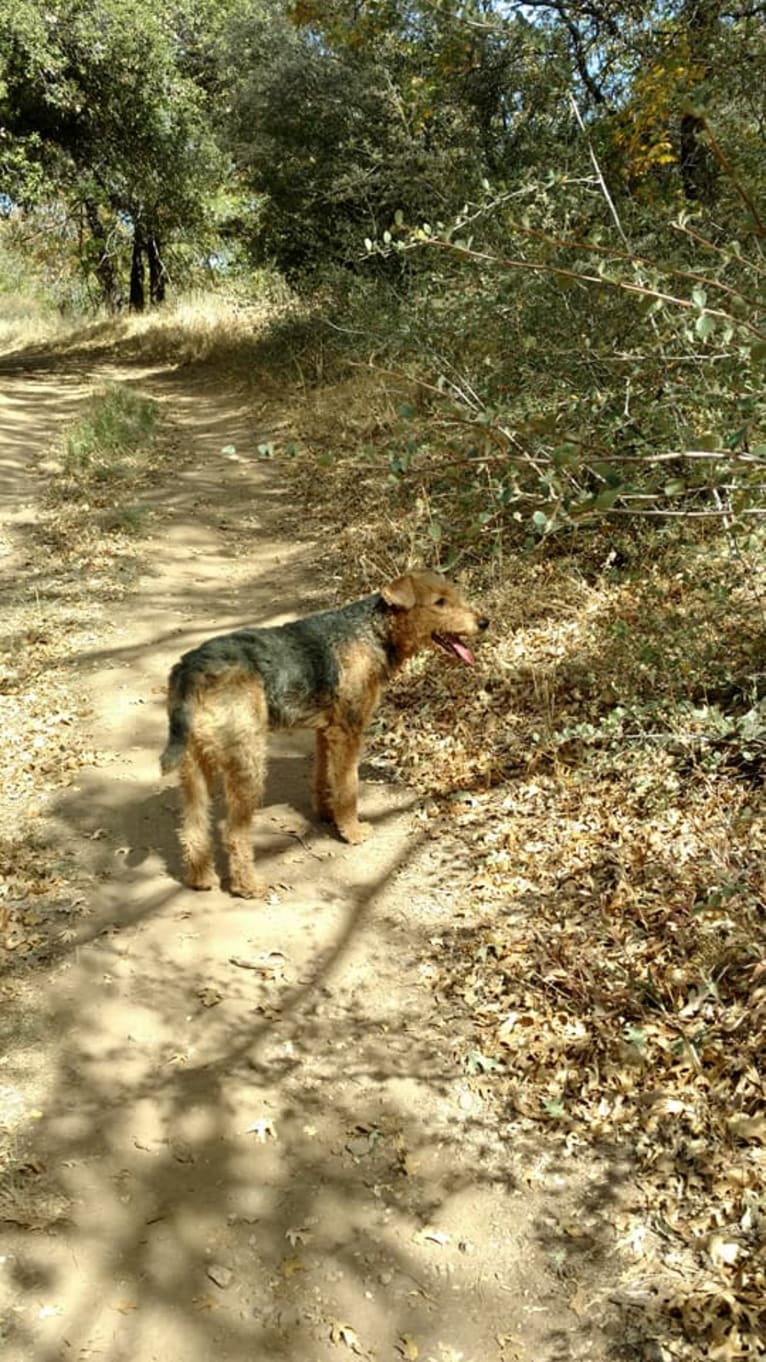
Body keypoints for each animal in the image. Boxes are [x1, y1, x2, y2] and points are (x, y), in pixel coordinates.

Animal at [158, 569, 485, 898]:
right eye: (440, 602)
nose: (484, 622)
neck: (371, 632)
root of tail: (190, 669)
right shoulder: (348, 730)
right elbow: (348, 787)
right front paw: (353, 831)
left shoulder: (327, 730)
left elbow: (325, 777)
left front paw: (328, 814)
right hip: (246, 762)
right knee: (234, 833)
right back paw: (248, 885)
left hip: (193, 762)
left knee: (194, 827)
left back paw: (202, 878)